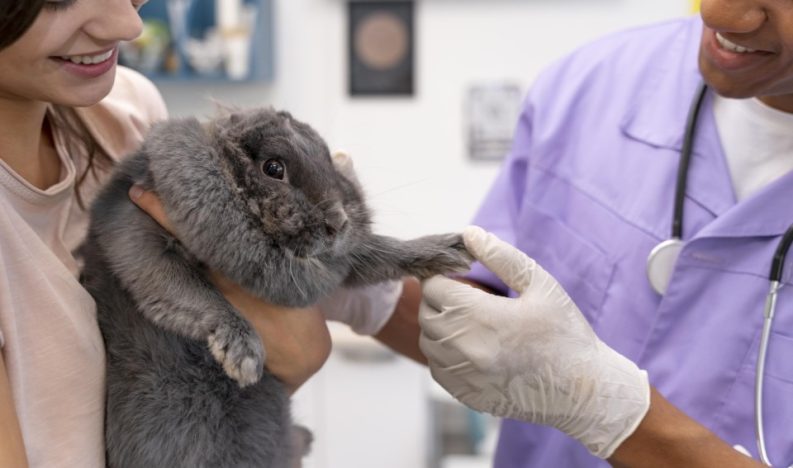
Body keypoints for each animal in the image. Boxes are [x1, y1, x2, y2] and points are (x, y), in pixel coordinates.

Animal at [78, 107, 472, 468]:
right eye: (273, 168)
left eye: (328, 160)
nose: (338, 221)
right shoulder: (139, 238)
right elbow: (193, 293)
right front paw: (243, 356)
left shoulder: (345, 263)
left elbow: (381, 252)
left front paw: (448, 250)